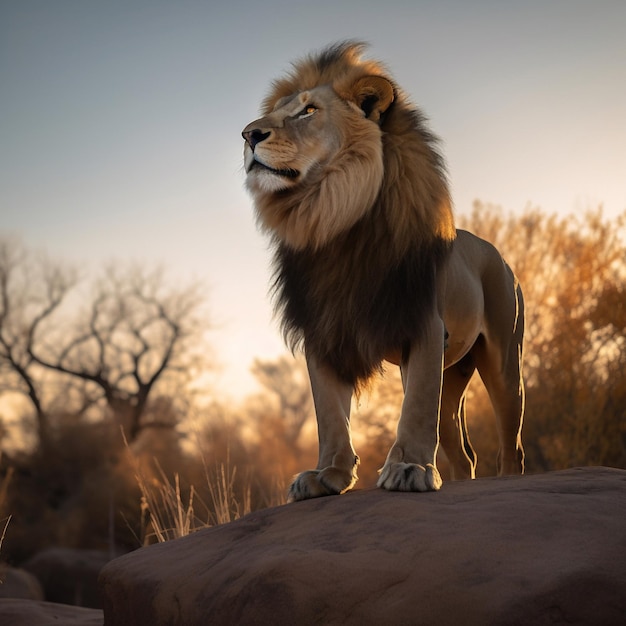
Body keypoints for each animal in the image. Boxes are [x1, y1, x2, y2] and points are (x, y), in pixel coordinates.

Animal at [241, 41, 524, 500]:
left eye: (308, 111)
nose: (248, 135)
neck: (332, 218)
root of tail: (495, 252)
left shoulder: (425, 324)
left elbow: (416, 409)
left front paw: (409, 468)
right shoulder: (324, 330)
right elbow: (330, 414)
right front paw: (327, 475)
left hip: (504, 360)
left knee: (510, 442)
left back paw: (508, 483)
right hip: (453, 372)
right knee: (464, 453)